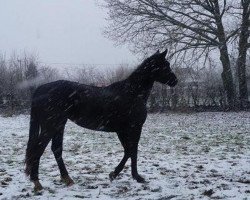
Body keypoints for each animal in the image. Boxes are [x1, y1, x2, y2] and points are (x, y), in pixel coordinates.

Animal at [24, 49, 178, 191]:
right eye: (165, 65)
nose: (175, 81)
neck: (133, 93)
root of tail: (40, 89)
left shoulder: (122, 130)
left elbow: (128, 150)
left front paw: (115, 174)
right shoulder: (133, 128)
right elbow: (132, 151)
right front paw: (134, 176)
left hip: (59, 125)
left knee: (56, 149)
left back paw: (67, 179)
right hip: (51, 126)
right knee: (38, 149)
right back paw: (37, 183)